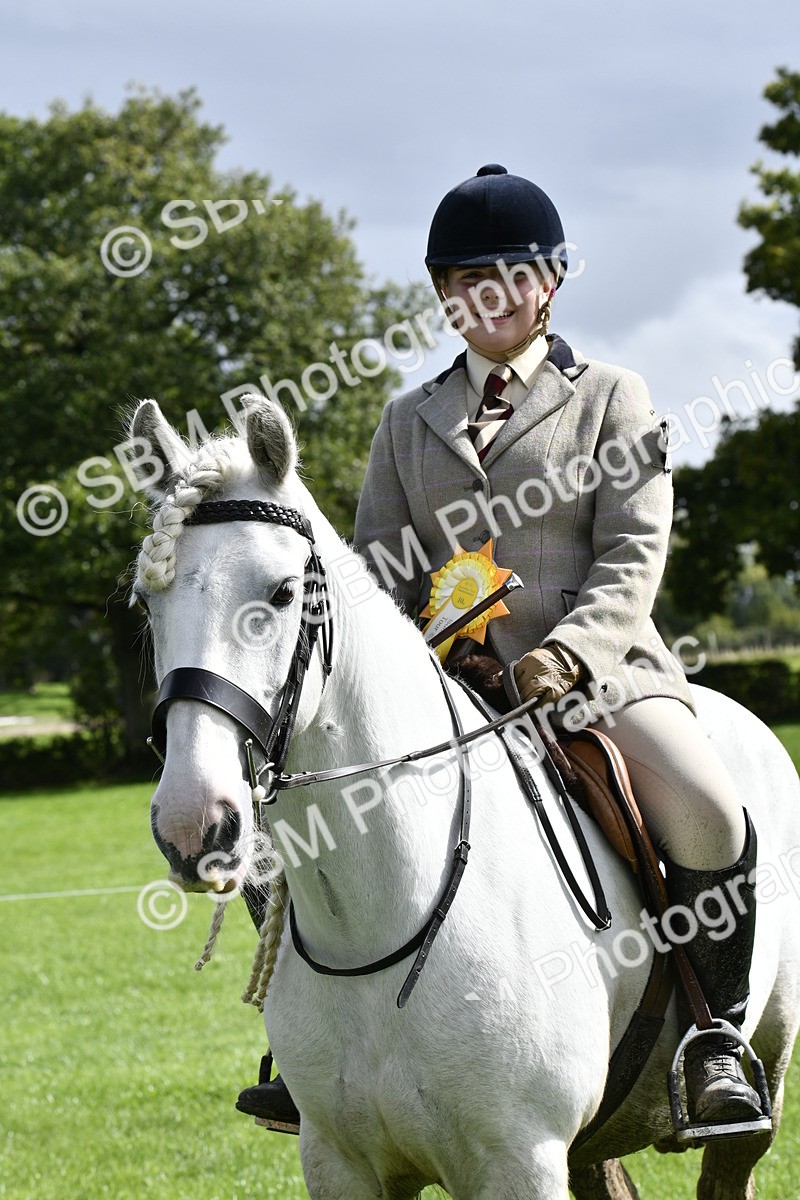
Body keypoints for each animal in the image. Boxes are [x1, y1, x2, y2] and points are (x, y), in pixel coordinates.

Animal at [130, 394, 800, 1200]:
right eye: (148, 601)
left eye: (283, 592)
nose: (193, 823)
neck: (381, 916)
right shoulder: (340, 1161)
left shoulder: (520, 1160)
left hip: (760, 1078)